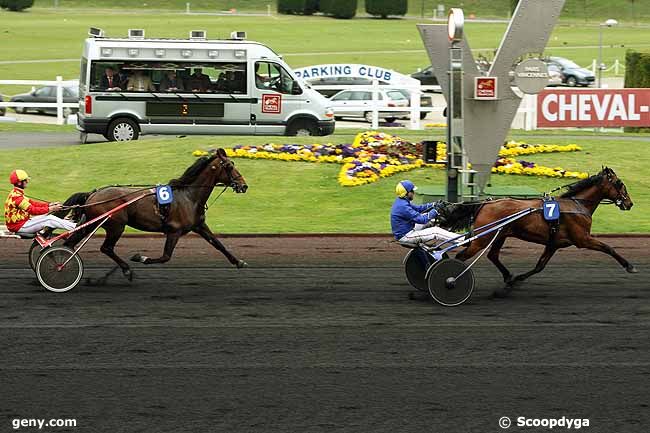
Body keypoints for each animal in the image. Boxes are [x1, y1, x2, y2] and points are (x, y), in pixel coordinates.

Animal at [58, 148, 247, 280]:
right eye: (229, 166)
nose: (244, 186)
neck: (189, 197)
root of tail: (93, 194)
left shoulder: (199, 226)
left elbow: (218, 244)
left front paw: (238, 262)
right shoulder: (174, 231)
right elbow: (165, 257)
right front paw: (140, 257)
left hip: (92, 224)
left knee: (70, 243)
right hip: (115, 226)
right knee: (106, 248)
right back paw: (126, 270)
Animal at [436, 166, 632, 296]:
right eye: (620, 183)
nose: (629, 203)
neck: (577, 205)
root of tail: (484, 204)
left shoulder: (554, 244)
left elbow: (539, 266)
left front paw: (515, 281)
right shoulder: (582, 239)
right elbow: (608, 248)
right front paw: (629, 265)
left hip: (499, 235)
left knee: (493, 255)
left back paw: (508, 277)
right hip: (482, 240)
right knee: (461, 256)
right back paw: (451, 280)